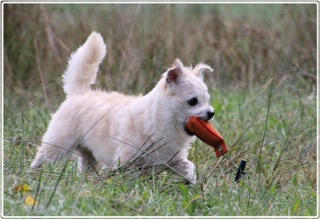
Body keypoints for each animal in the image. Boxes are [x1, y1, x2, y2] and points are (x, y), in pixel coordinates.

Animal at [31, 32, 214, 183]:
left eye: (207, 101)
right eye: (193, 101)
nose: (211, 113)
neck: (163, 122)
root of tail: (79, 93)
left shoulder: (173, 160)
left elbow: (188, 166)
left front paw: (192, 182)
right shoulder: (127, 163)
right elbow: (129, 179)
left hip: (87, 154)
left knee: (86, 167)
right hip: (58, 144)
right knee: (41, 158)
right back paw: (32, 176)